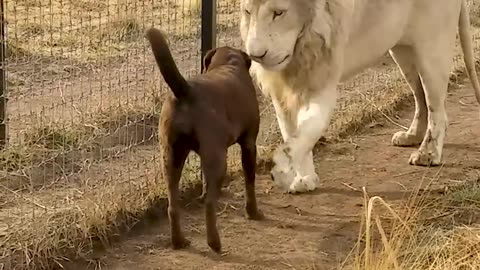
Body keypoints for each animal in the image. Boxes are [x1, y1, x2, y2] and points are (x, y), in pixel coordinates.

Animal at [143, 27, 262, 253]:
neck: (228, 63)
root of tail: (185, 91)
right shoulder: (249, 144)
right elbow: (250, 182)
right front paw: (253, 212)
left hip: (171, 157)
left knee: (173, 206)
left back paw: (179, 241)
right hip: (217, 159)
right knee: (209, 204)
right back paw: (214, 242)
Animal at [239, 0, 480, 194]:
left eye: (279, 13)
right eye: (247, 12)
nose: (256, 55)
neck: (302, 47)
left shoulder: (323, 80)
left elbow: (306, 131)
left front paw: (283, 170)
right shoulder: (283, 89)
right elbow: (291, 132)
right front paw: (303, 179)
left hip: (431, 48)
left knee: (437, 108)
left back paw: (428, 154)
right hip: (403, 50)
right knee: (420, 97)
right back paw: (411, 136)